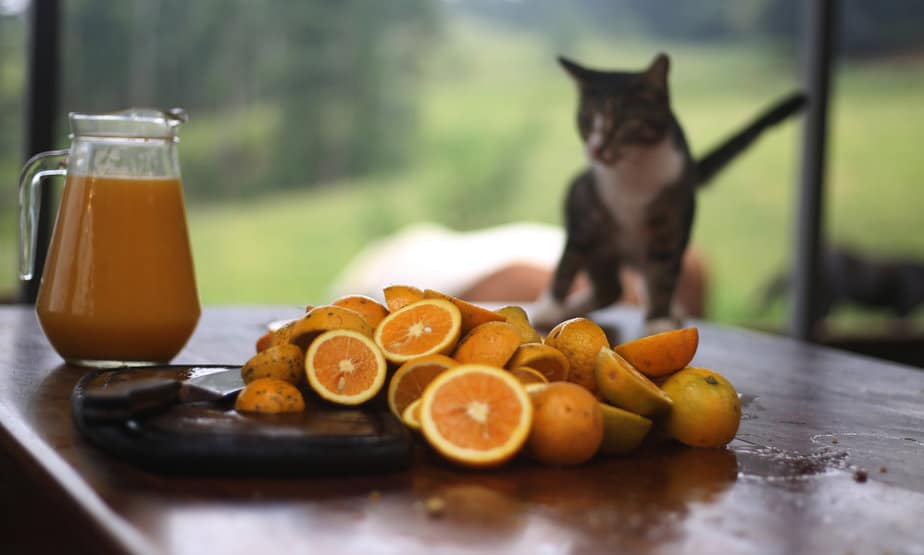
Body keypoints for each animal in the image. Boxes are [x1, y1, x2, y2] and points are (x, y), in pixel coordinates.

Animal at [532, 53, 804, 334]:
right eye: (585, 121)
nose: (594, 150)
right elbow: (569, 260)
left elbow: (664, 274)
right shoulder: (584, 208)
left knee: (629, 283)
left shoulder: (672, 222)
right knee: (610, 287)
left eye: (622, 123)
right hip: (601, 243)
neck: (632, 173)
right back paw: (570, 310)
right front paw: (550, 307)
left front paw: (658, 320)